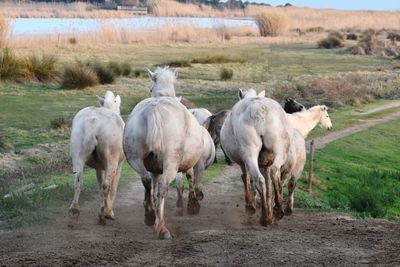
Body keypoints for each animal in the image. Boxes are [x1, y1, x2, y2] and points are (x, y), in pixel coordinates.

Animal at [69, 91, 124, 223]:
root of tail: (92, 123)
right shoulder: (119, 165)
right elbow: (113, 188)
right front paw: (107, 210)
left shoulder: (99, 167)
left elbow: (99, 185)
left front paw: (102, 207)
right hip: (112, 158)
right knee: (106, 186)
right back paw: (107, 214)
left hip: (77, 154)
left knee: (78, 181)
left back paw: (74, 209)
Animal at [123, 66, 208, 239]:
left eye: (150, 88)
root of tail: (153, 109)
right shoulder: (187, 163)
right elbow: (191, 179)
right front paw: (193, 205)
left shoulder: (155, 168)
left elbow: (154, 188)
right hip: (171, 163)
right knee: (163, 187)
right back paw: (162, 228)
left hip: (134, 159)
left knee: (147, 180)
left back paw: (150, 215)